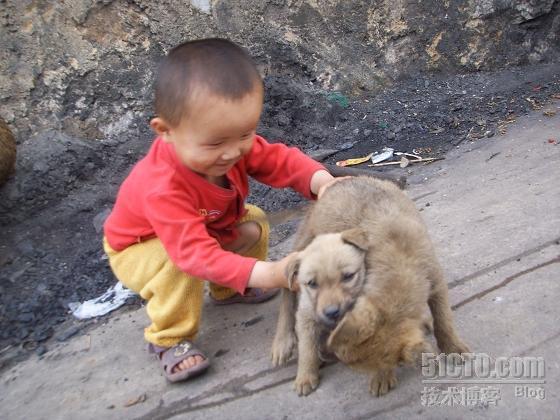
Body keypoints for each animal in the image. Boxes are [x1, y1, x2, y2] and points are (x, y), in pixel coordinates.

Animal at [272, 176, 468, 398]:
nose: (331, 351)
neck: (399, 258)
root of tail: (339, 183)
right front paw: (382, 378)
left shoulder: (436, 283)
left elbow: (443, 320)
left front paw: (452, 346)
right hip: (302, 245)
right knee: (287, 289)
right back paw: (283, 342)